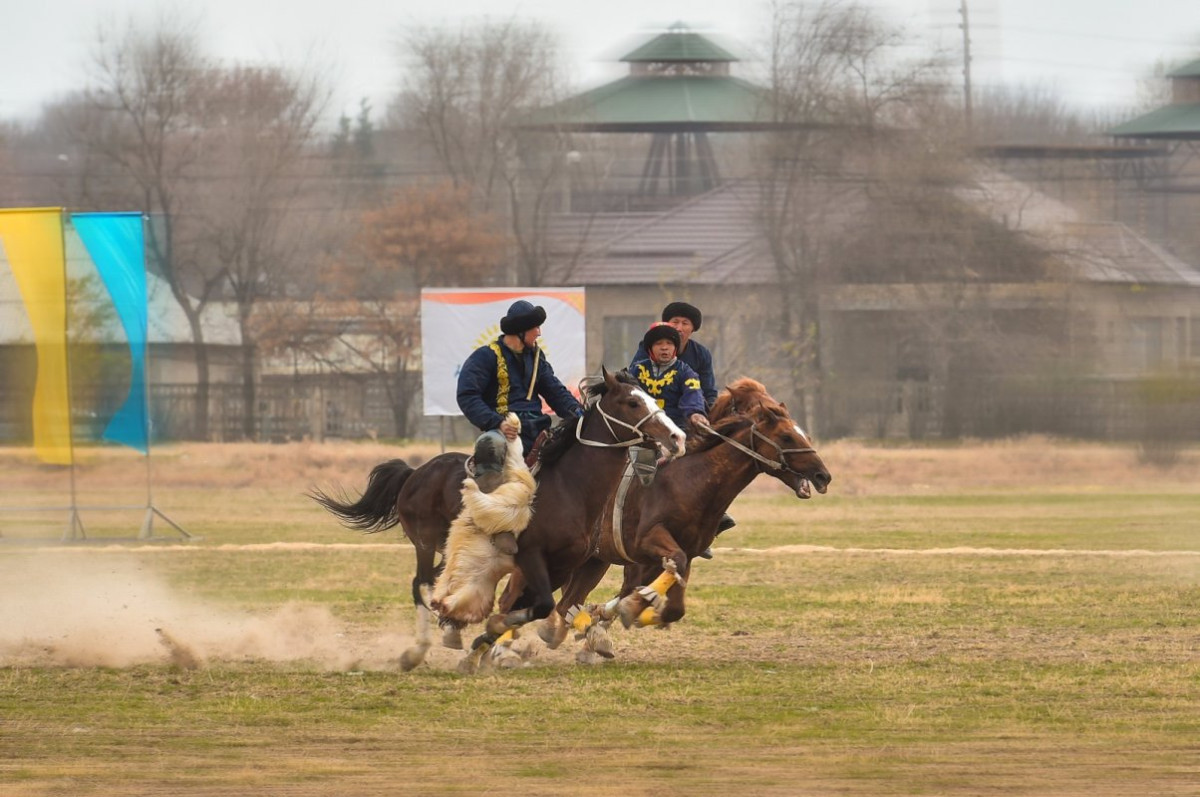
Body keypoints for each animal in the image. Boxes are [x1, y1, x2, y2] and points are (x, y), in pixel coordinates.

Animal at [309, 367, 686, 672]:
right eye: (632, 403)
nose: (677, 437)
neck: (570, 487)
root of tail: (416, 472)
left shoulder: (563, 564)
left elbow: (539, 605)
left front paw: (487, 645)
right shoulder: (531, 556)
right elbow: (539, 604)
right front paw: (494, 638)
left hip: (451, 548)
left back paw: (452, 626)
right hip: (424, 543)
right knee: (421, 587)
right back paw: (416, 651)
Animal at [540, 379, 830, 657]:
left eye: (803, 434)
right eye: (787, 436)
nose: (822, 476)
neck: (692, 481)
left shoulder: (682, 553)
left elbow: (672, 605)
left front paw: (630, 613)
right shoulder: (646, 544)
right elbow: (637, 588)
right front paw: (623, 612)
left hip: (594, 560)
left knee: (568, 601)